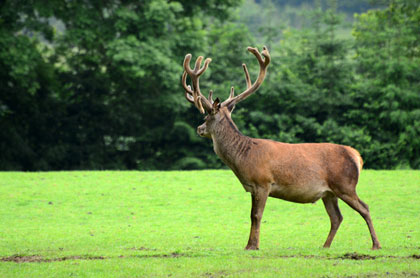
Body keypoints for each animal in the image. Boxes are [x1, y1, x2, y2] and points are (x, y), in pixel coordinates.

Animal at [180, 45, 380, 250]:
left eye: (206, 117)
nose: (199, 128)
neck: (243, 157)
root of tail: (356, 156)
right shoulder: (254, 187)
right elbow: (253, 215)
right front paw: (251, 244)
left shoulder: (263, 182)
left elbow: (255, 215)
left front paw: (252, 246)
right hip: (329, 192)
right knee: (336, 217)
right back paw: (325, 246)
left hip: (345, 184)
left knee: (364, 208)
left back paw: (376, 244)